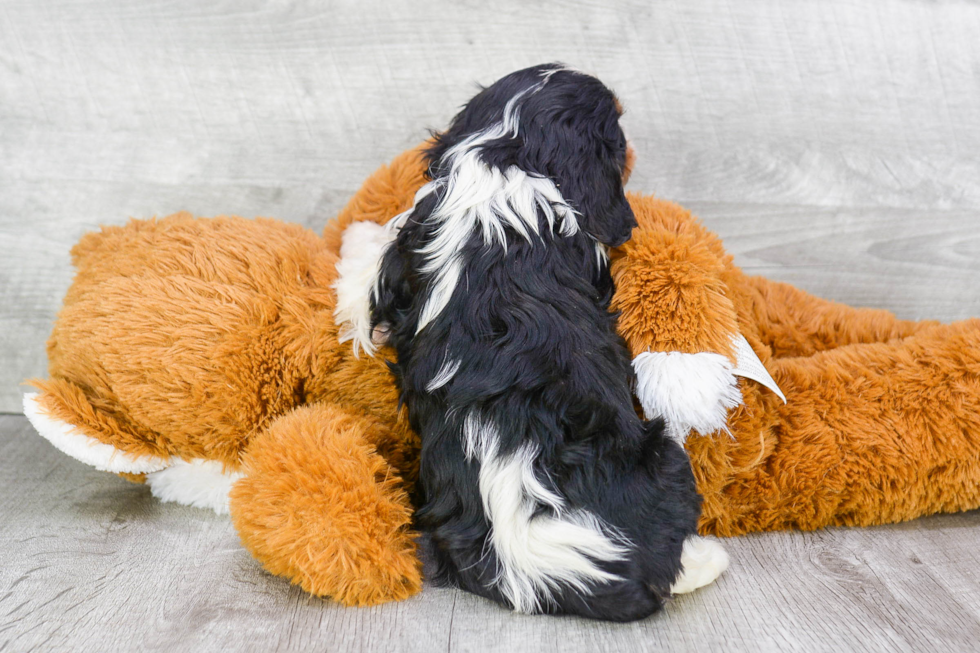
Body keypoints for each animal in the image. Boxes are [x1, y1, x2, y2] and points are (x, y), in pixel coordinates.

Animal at [340, 65, 724, 620]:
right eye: (618, 135)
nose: (634, 152)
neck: (506, 155)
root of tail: (539, 555)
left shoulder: (408, 250)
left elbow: (374, 277)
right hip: (665, 456)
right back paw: (706, 559)